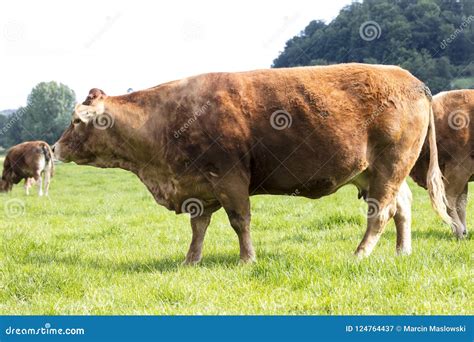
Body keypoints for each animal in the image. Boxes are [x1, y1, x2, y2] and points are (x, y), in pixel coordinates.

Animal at [53, 62, 450, 264]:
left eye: (75, 121)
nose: (54, 148)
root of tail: (411, 79)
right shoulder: (198, 186)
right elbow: (199, 227)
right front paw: (191, 260)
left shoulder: (229, 178)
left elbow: (239, 221)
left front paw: (247, 259)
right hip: (375, 172)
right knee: (402, 207)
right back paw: (401, 250)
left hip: (389, 166)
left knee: (380, 213)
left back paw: (360, 254)